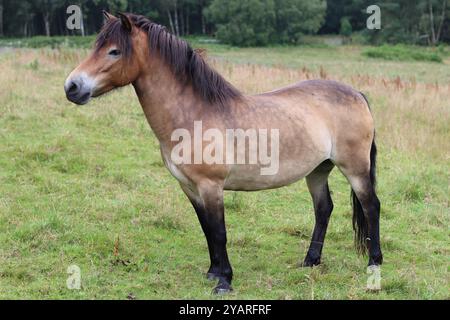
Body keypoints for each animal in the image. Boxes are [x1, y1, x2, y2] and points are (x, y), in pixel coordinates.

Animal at [65, 11, 384, 292]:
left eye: (114, 51)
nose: (72, 86)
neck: (194, 116)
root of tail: (357, 94)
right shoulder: (189, 187)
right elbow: (207, 229)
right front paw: (213, 272)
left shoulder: (211, 186)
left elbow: (219, 231)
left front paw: (224, 282)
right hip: (318, 169)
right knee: (323, 208)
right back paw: (310, 261)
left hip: (354, 168)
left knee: (371, 206)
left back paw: (374, 262)